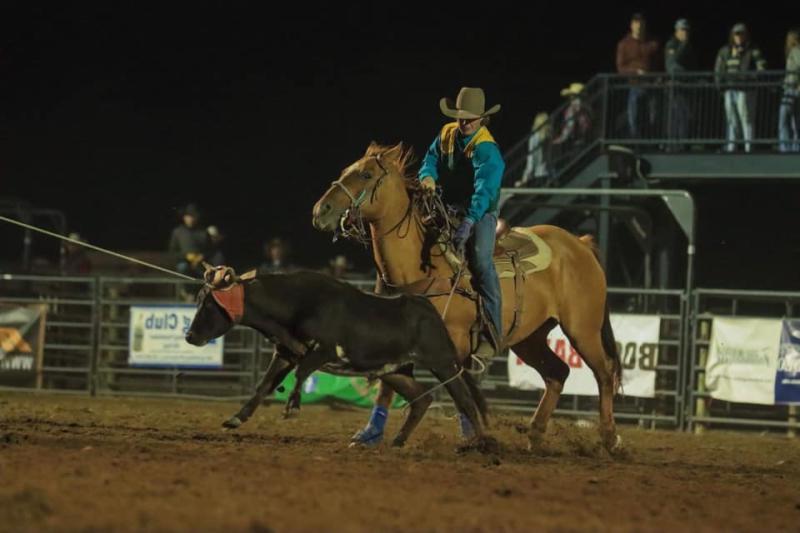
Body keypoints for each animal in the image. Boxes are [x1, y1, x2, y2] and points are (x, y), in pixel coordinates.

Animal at [312, 142, 624, 454]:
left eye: (365, 174)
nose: (320, 210)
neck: (421, 266)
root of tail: (580, 245)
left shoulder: (454, 344)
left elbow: (457, 387)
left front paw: (473, 435)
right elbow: (387, 386)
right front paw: (370, 433)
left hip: (583, 330)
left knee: (604, 372)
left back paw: (609, 437)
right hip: (529, 337)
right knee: (557, 373)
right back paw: (535, 435)